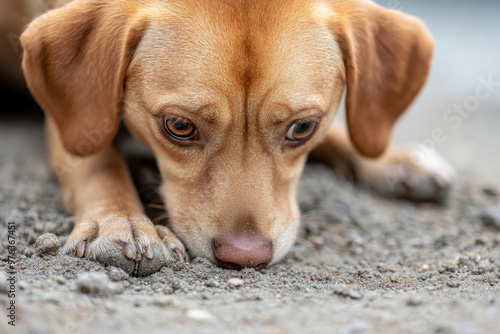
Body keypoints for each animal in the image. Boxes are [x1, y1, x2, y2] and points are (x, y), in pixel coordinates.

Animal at [15, 0, 456, 276]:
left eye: (303, 128)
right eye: (178, 126)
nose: (245, 258)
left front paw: (394, 162)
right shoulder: (71, 116)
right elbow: (97, 157)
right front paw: (120, 220)